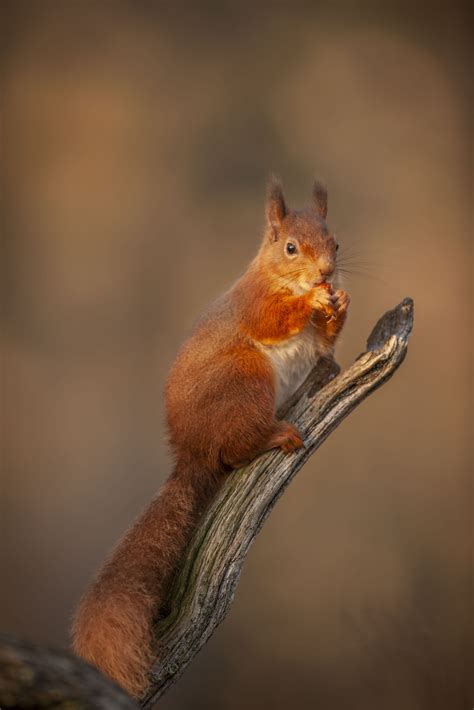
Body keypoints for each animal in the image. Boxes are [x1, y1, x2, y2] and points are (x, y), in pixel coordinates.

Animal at [72, 179, 350, 700]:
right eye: (290, 247)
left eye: (336, 243)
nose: (326, 272)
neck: (280, 277)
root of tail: (193, 452)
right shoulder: (254, 304)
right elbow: (274, 319)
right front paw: (312, 304)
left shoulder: (318, 337)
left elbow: (324, 342)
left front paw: (339, 302)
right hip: (245, 378)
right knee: (237, 448)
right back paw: (274, 435)